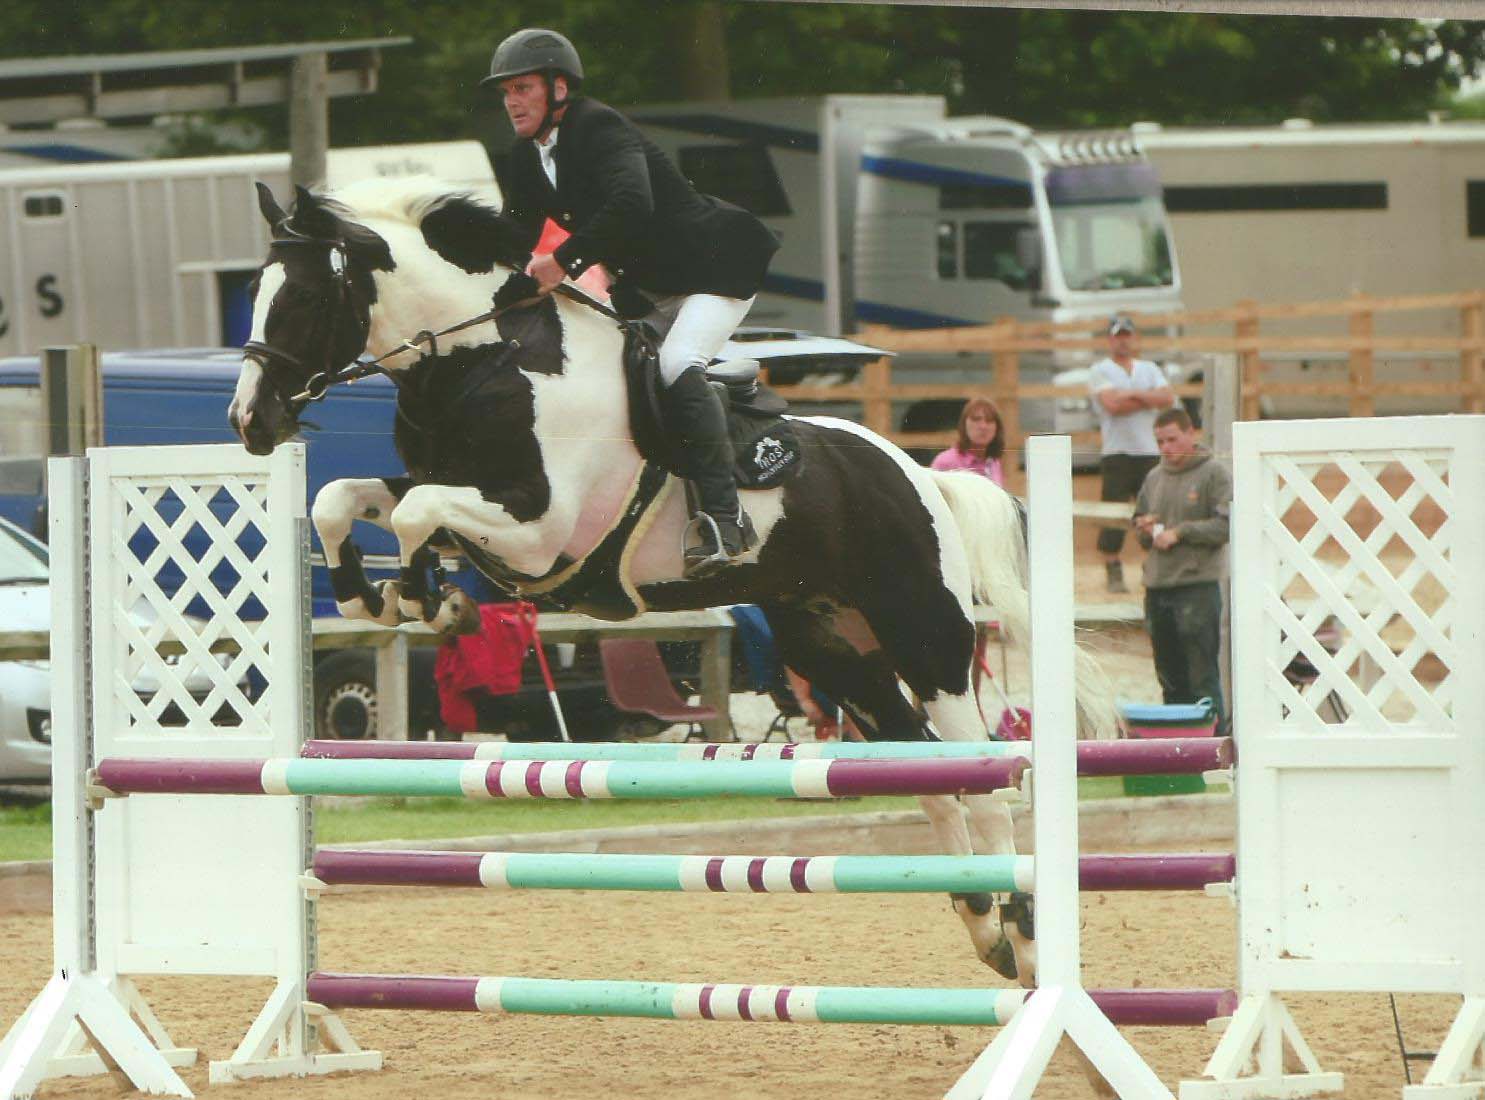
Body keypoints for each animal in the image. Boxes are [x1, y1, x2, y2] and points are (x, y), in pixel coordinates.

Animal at [228, 175, 1116, 979]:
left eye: (301, 301)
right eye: (255, 295)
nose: (250, 422)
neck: (489, 362)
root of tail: (921, 474)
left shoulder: (537, 531)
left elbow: (413, 516)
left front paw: (428, 599)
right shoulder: (468, 502)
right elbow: (344, 499)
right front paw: (380, 594)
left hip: (923, 637)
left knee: (982, 777)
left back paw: (1021, 933)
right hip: (837, 651)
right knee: (931, 776)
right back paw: (981, 921)